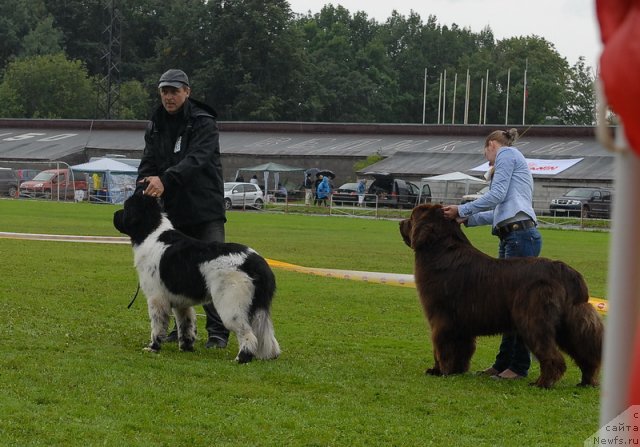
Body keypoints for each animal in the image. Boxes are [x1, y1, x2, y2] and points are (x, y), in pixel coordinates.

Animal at [114, 192, 278, 364]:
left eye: (125, 207)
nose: (114, 214)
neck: (150, 232)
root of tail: (256, 262)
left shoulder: (156, 298)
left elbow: (158, 325)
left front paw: (153, 347)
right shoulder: (181, 302)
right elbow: (186, 324)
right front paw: (186, 347)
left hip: (231, 305)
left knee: (247, 333)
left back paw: (242, 358)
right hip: (258, 305)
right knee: (265, 332)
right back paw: (270, 355)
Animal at [400, 204, 604, 388]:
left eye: (412, 218)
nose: (401, 222)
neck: (439, 251)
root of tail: (564, 270)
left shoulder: (441, 318)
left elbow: (440, 347)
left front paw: (440, 371)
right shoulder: (461, 324)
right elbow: (463, 349)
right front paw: (457, 370)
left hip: (533, 321)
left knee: (553, 356)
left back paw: (542, 383)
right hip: (568, 324)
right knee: (586, 354)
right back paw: (586, 381)